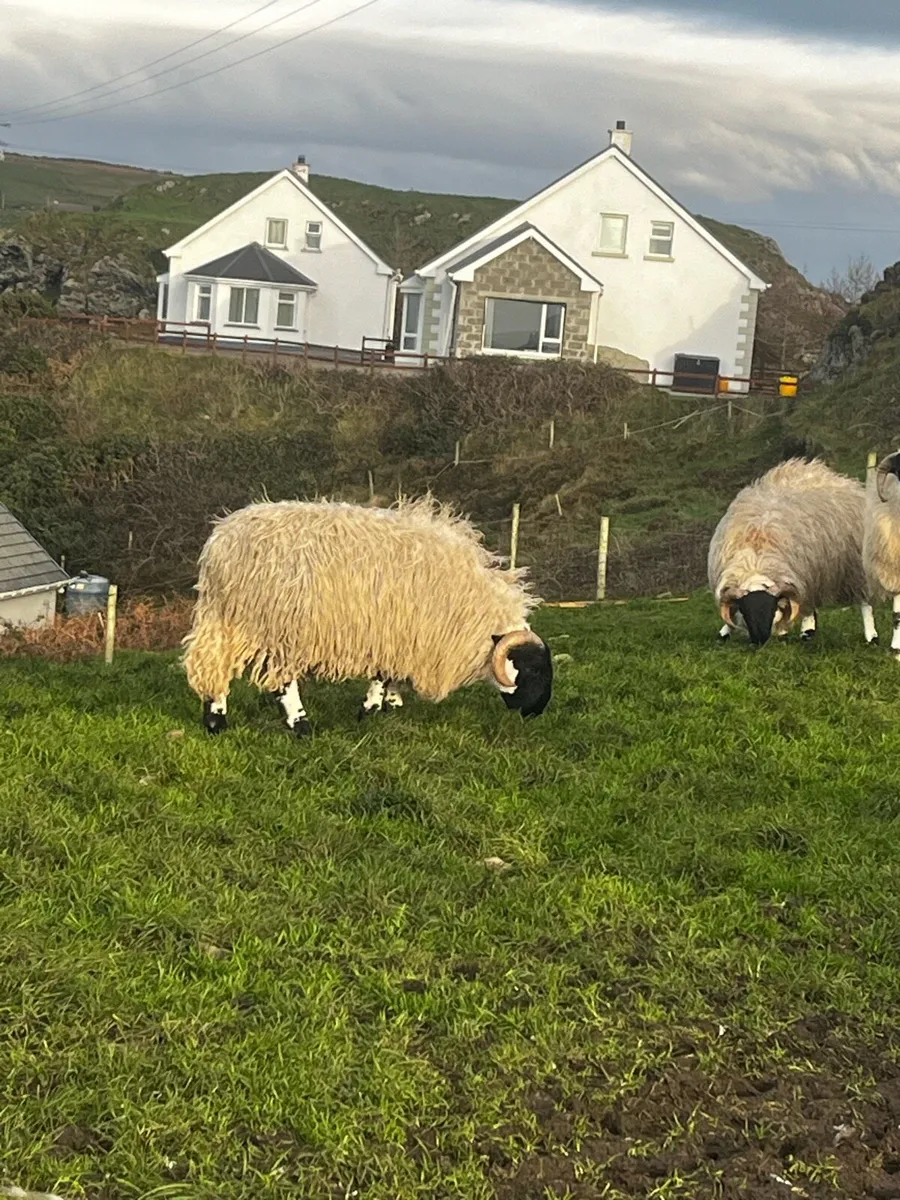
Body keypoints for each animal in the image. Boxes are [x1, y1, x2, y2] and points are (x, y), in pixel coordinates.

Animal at [181, 495, 554, 733]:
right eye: (533, 670)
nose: (536, 713)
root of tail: (223, 546)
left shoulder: (403, 637)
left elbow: (392, 675)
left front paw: (393, 704)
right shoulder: (395, 631)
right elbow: (382, 675)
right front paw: (371, 710)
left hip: (227, 619)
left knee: (212, 666)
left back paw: (215, 720)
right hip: (282, 626)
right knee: (282, 682)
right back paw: (301, 725)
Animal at [708, 457, 871, 647]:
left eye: (771, 608)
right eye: (745, 610)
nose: (759, 640)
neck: (756, 560)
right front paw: (725, 631)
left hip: (853, 565)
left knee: (863, 601)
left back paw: (870, 636)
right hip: (813, 572)